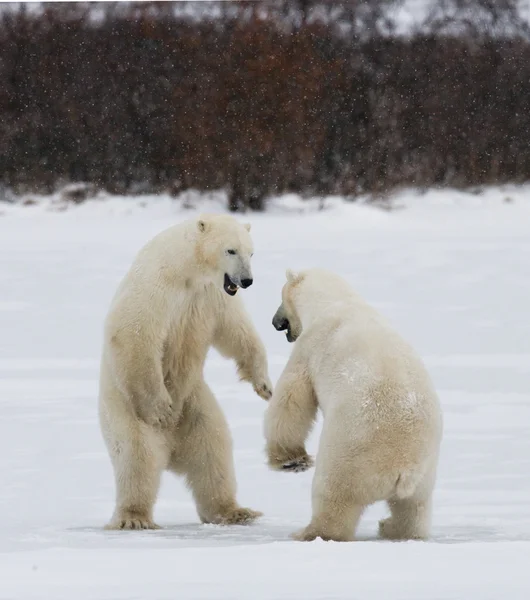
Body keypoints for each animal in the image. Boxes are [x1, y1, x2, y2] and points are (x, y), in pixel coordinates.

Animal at [99, 212, 272, 528]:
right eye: (230, 250)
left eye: (251, 252)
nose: (247, 280)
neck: (188, 269)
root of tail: (172, 448)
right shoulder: (156, 286)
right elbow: (134, 332)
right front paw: (161, 410)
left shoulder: (212, 295)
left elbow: (237, 330)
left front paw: (264, 385)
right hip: (124, 410)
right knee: (137, 457)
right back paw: (134, 517)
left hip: (196, 403)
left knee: (213, 450)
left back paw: (234, 511)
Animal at [264, 270, 442, 540]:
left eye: (280, 297)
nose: (274, 322)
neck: (337, 300)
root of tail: (404, 468)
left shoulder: (311, 345)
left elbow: (291, 399)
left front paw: (289, 460)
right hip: (426, 472)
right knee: (413, 509)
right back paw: (391, 527)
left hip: (349, 453)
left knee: (333, 497)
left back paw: (308, 532)